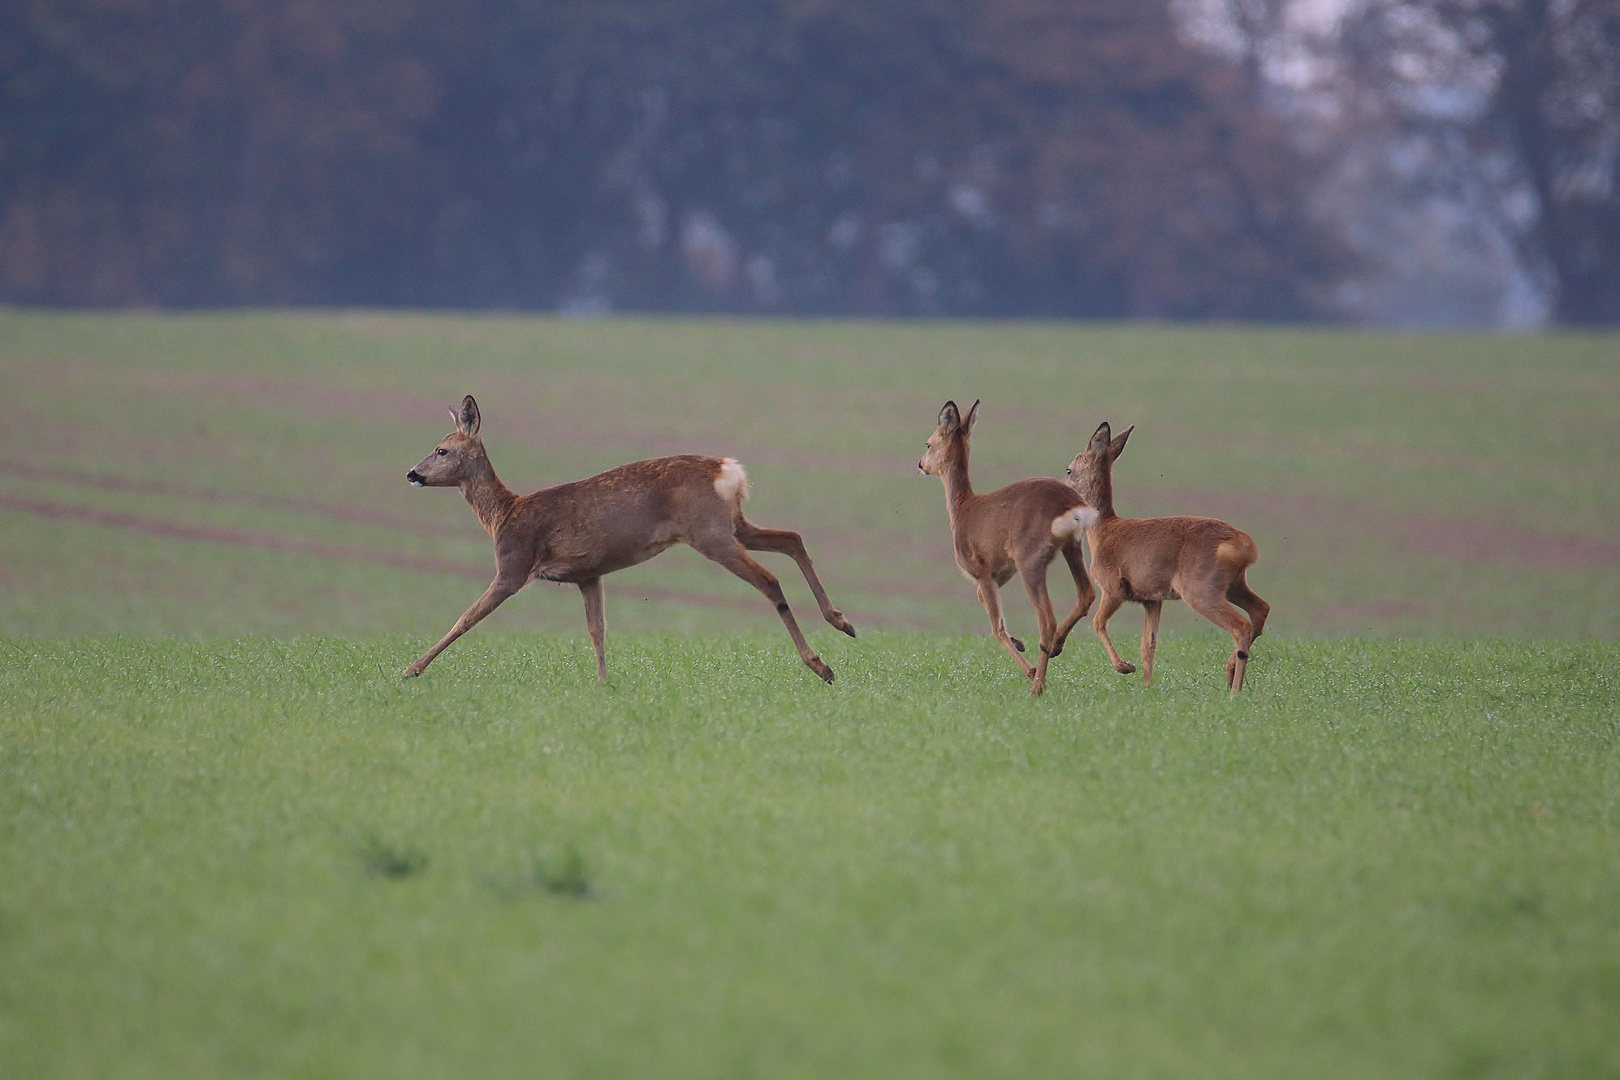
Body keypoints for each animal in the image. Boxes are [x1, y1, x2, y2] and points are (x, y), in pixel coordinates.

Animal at [405, 396, 861, 683]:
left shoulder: (513, 566)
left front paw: (411, 669)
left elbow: (466, 617)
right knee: (793, 537)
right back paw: (842, 622)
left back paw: (821, 666)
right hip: (733, 524)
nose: (412, 473)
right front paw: (603, 684)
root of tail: (729, 470)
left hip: (709, 533)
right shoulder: (587, 574)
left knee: (769, 579)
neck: (503, 514)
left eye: (442, 450)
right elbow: (598, 629)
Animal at [920, 401, 1095, 696]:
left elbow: (996, 626)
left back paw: (1037, 684)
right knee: (1087, 593)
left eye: (929, 443)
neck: (961, 508)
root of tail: (1071, 506)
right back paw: (1055, 650)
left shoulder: (980, 567)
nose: (920, 464)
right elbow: (982, 599)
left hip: (1030, 558)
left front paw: (1029, 668)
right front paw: (1020, 643)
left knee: (1046, 620)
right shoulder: (1001, 569)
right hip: (1072, 546)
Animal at [1069, 420, 1270, 693]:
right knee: (1260, 610)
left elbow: (1097, 623)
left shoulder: (1113, 587)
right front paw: (1147, 686)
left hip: (1201, 589)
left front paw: (1124, 667)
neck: (1102, 531)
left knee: (1242, 626)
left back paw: (1234, 691)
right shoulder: (1152, 599)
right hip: (1233, 584)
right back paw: (1229, 674)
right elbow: (1148, 645)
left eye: (1069, 470)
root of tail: (1243, 544)